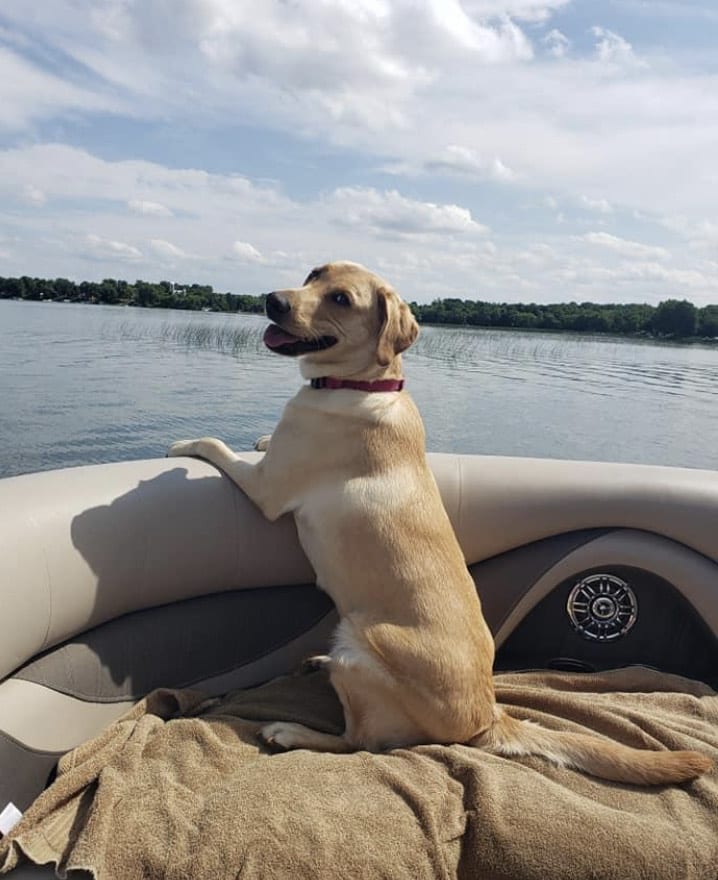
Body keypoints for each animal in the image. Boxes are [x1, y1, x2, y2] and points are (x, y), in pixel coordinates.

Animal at [170, 260, 716, 784]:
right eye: (313, 275)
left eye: (341, 298)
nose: (272, 300)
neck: (366, 381)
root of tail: (486, 716)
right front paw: (259, 437)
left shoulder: (267, 488)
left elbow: (217, 447)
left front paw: (186, 447)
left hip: (359, 642)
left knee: (359, 742)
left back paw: (292, 730)